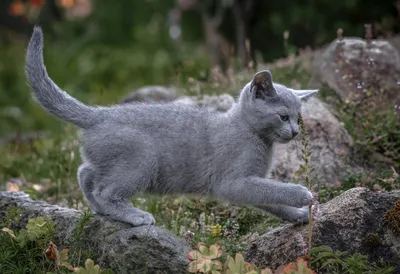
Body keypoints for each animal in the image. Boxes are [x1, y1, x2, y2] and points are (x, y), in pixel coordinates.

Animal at [25, 26, 318, 227]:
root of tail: (100, 114)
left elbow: (269, 201)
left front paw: (297, 215)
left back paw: (99, 209)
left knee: (85, 173)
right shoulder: (234, 182)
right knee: (105, 190)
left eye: (298, 117)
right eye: (283, 117)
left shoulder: (249, 181)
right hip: (141, 158)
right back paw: (134, 215)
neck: (255, 136)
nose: (295, 132)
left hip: (110, 159)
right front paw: (302, 194)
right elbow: (271, 190)